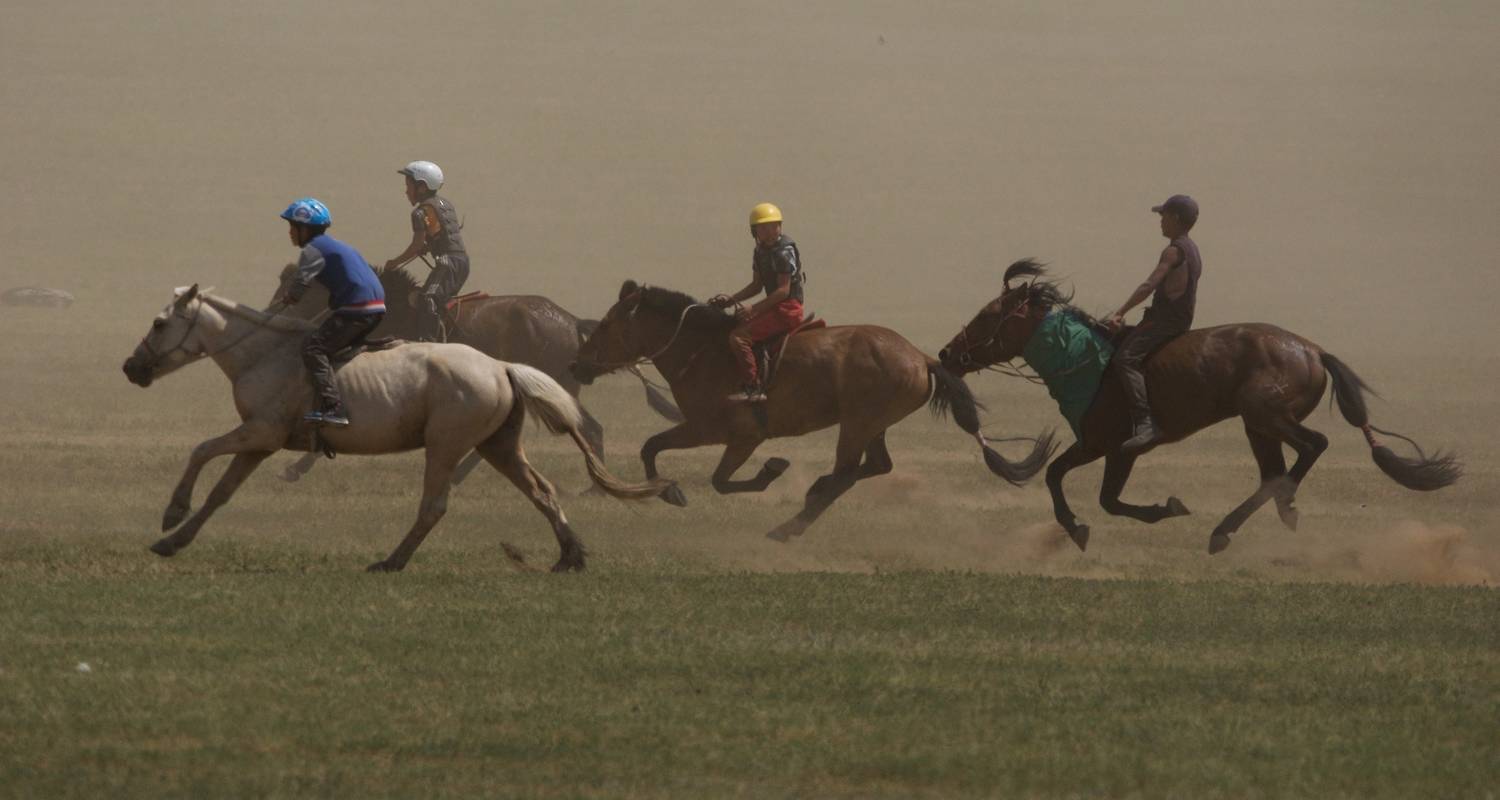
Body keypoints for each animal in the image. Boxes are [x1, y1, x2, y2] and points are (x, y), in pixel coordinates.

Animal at [120, 283, 672, 570]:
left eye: (160, 323)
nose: (131, 367)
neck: (262, 353)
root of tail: (501, 368)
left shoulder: (261, 434)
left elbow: (200, 450)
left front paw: (171, 514)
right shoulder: (259, 443)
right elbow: (221, 493)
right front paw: (173, 540)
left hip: (445, 445)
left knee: (434, 504)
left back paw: (392, 560)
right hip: (500, 446)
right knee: (542, 490)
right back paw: (570, 554)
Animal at [564, 277, 1056, 540]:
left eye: (605, 324)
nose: (577, 363)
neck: (702, 351)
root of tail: (921, 358)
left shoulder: (732, 435)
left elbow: (714, 477)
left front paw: (769, 471)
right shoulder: (705, 430)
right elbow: (653, 448)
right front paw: (670, 491)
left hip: (856, 423)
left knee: (847, 473)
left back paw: (789, 525)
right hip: (871, 423)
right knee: (874, 466)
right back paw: (811, 494)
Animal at [942, 258, 1458, 552]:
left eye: (988, 315)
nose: (947, 354)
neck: (1083, 359)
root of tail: (1313, 350)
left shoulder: (1115, 446)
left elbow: (1101, 496)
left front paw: (1150, 512)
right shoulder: (1098, 446)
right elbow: (1060, 477)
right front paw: (1083, 526)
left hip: (1266, 415)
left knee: (1314, 445)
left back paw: (1270, 511)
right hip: (1258, 427)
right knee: (1272, 474)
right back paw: (1238, 525)